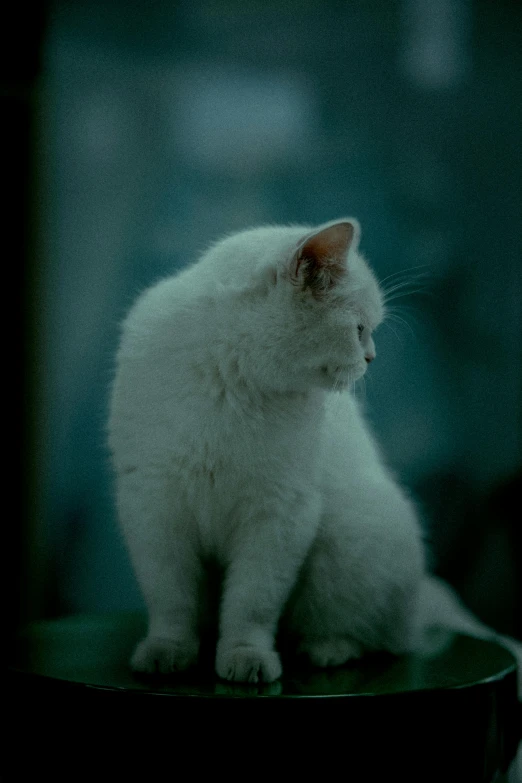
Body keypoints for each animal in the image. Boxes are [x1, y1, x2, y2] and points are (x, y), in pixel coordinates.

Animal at [106, 217, 520, 688]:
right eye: (359, 330)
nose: (371, 357)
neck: (232, 380)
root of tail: (421, 601)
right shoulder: (153, 503)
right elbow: (172, 600)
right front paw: (166, 653)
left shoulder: (280, 511)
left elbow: (251, 604)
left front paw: (246, 659)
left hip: (348, 547)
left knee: (378, 638)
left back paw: (326, 650)